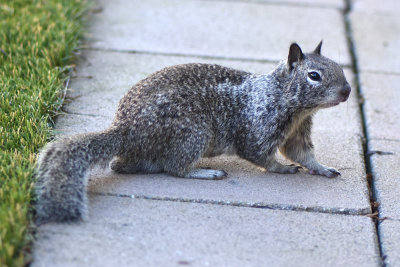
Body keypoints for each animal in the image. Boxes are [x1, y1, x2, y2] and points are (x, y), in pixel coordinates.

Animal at [36, 42, 352, 223]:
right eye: (314, 76)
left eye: (339, 66)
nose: (348, 91)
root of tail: (124, 129)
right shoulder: (258, 127)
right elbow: (261, 155)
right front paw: (281, 169)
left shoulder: (297, 133)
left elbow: (303, 155)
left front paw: (322, 168)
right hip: (192, 133)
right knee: (175, 167)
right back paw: (205, 172)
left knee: (124, 164)